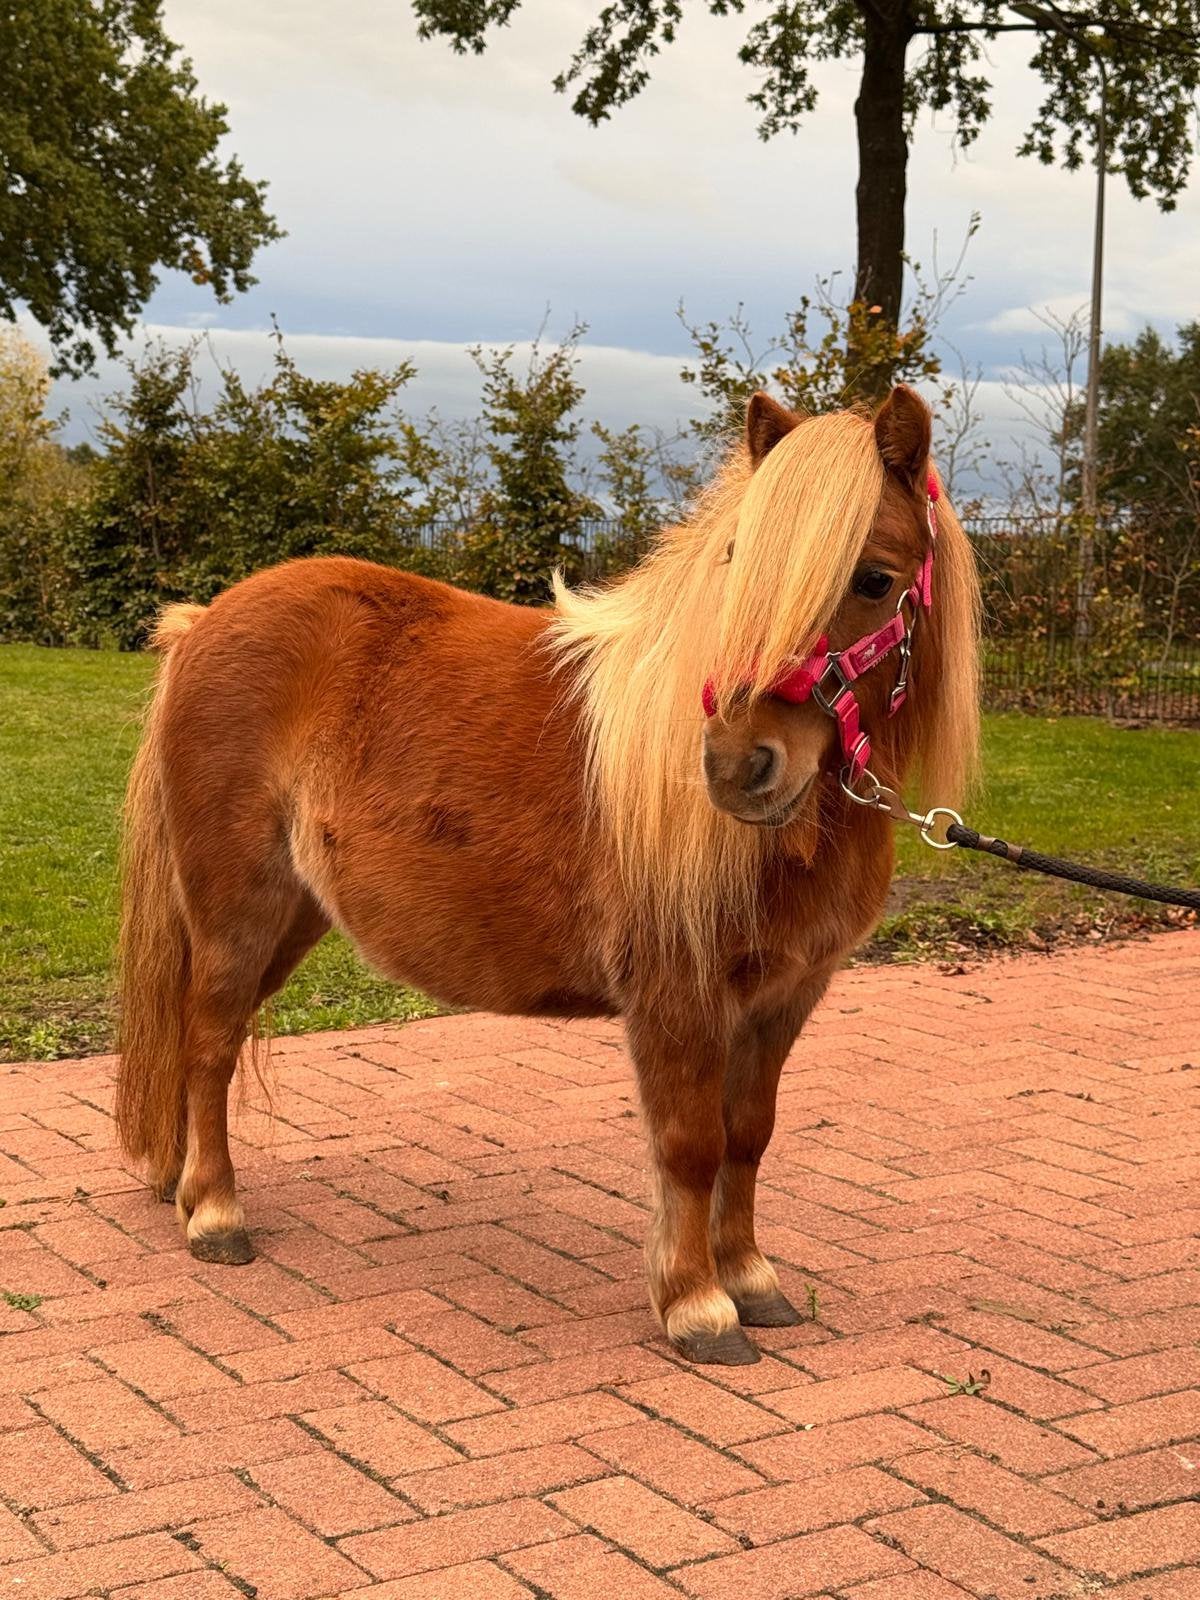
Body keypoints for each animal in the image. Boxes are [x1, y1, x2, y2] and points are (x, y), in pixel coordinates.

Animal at [115, 383, 980, 1366]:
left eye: (873, 579)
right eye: (735, 567)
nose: (735, 767)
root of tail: (203, 623)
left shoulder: (784, 998)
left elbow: (749, 1137)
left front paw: (751, 1280)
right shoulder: (679, 997)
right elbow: (691, 1144)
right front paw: (697, 1305)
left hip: (292, 919)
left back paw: (185, 1185)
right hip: (238, 913)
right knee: (210, 1043)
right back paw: (216, 1216)